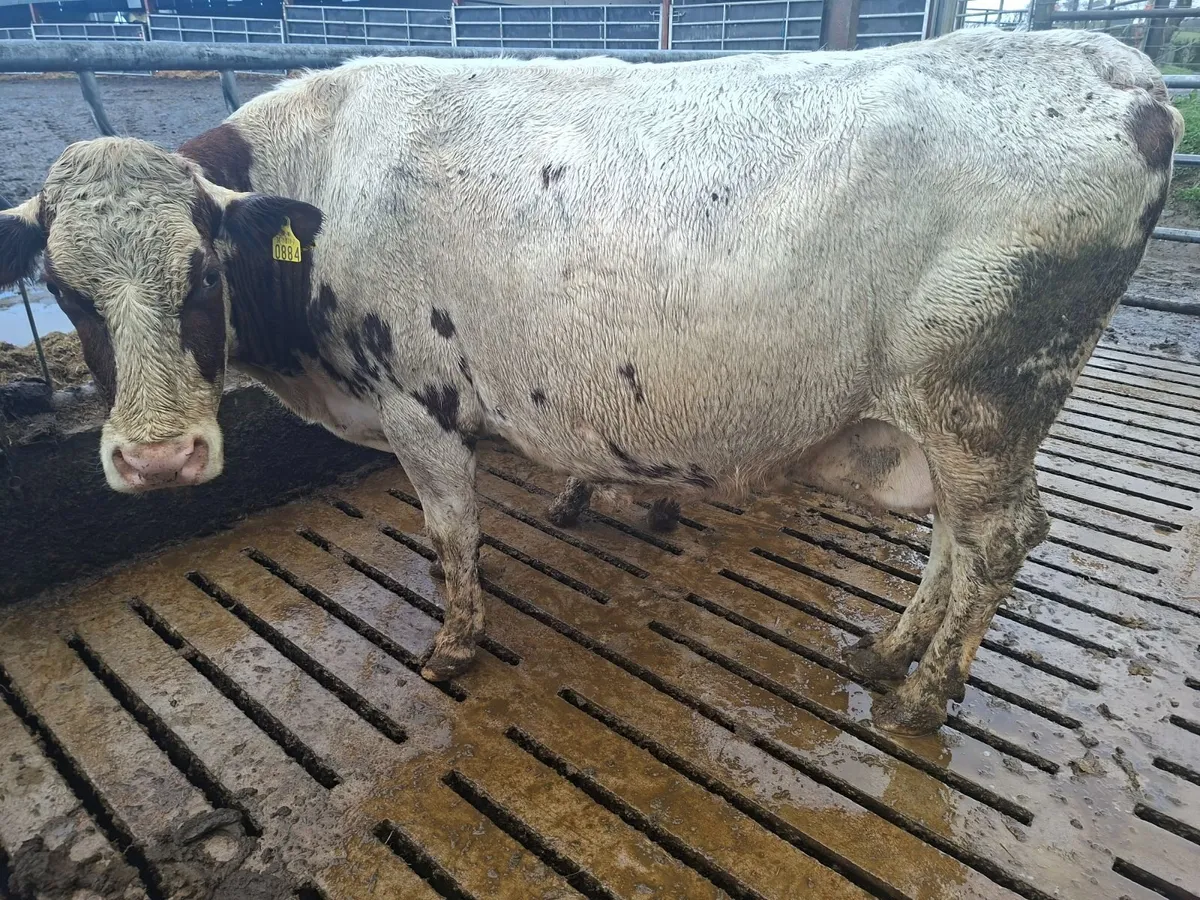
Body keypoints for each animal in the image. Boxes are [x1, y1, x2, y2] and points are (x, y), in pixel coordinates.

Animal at [0, 28, 1181, 734]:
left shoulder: (418, 406)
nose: (159, 457)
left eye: (202, 273)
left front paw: (453, 648)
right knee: (955, 536)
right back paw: (889, 653)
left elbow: (453, 538)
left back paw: (923, 699)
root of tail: (1121, 71)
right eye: (63, 288)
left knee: (999, 538)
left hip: (982, 399)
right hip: (952, 416)